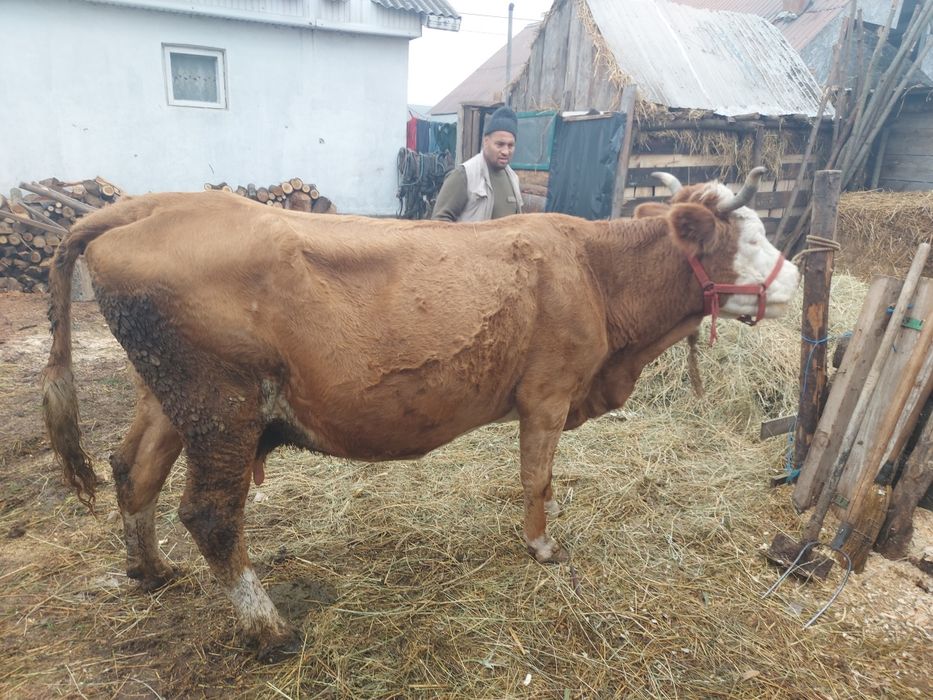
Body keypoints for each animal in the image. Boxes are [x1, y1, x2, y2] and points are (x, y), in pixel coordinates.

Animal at [42, 168, 799, 661]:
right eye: (747, 236)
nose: (794, 276)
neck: (593, 270)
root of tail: (147, 207)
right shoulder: (547, 393)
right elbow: (536, 478)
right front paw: (542, 547)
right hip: (220, 405)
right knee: (210, 516)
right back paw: (269, 630)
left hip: (171, 399)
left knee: (131, 470)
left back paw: (150, 570)